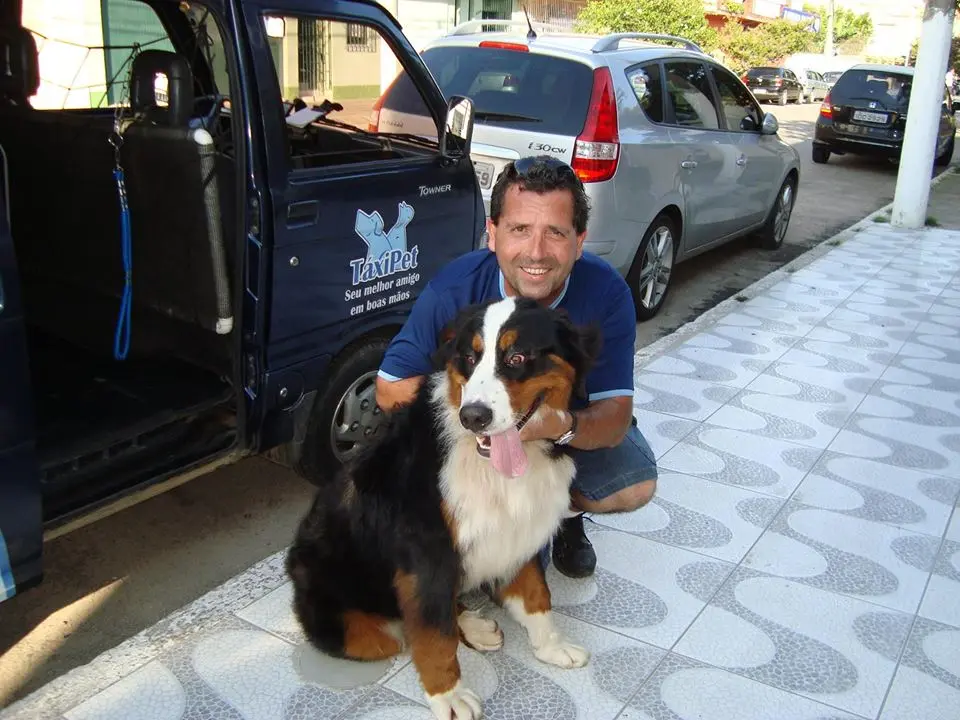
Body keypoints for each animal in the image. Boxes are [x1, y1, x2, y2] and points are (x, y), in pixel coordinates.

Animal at [284, 296, 600, 716]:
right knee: (401, 627)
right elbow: (434, 633)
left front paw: (551, 645)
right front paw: (448, 696)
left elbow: (536, 593)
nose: (474, 416)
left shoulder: (519, 527)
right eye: (469, 357)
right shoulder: (427, 550)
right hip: (350, 616)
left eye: (517, 357)